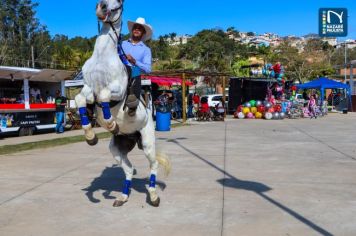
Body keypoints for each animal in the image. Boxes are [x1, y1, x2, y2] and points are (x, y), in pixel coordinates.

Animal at [74, 0, 170, 206]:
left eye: (119, 2)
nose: (101, 6)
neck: (102, 58)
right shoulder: (88, 88)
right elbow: (80, 99)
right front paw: (90, 135)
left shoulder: (115, 90)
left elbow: (103, 95)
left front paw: (111, 123)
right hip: (117, 149)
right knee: (129, 169)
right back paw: (122, 197)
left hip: (148, 143)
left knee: (153, 164)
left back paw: (154, 196)